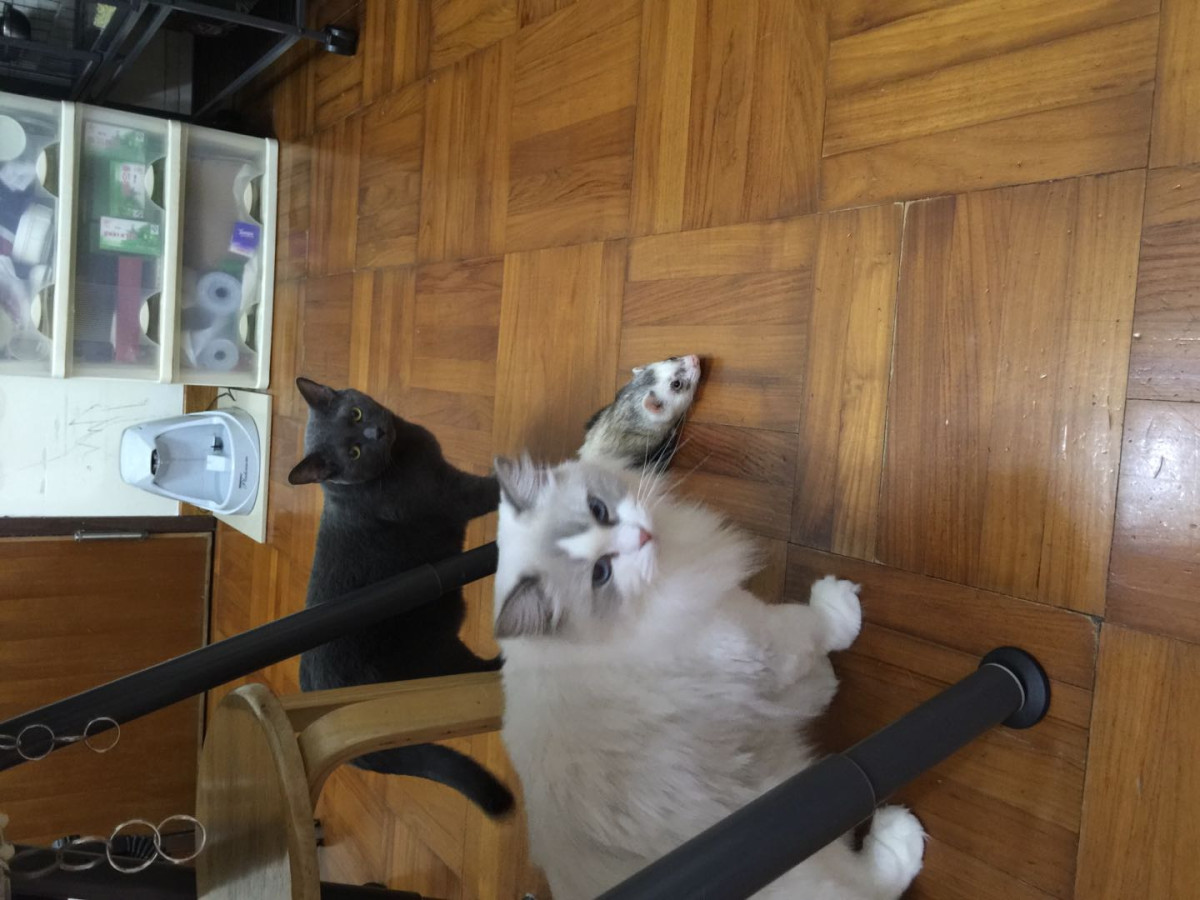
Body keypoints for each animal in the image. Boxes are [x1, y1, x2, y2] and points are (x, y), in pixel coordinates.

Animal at [288, 377, 513, 817]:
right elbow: (492, 488)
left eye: (356, 414)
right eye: (354, 453)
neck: (405, 448)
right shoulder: (450, 495)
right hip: (436, 653)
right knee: (479, 672)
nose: (376, 432)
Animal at [490, 455, 925, 899]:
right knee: (873, 878)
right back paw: (900, 833)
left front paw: (823, 684)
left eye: (598, 509)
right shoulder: (753, 636)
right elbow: (810, 625)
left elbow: (801, 692)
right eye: (600, 574)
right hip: (794, 828)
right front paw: (839, 614)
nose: (641, 535)